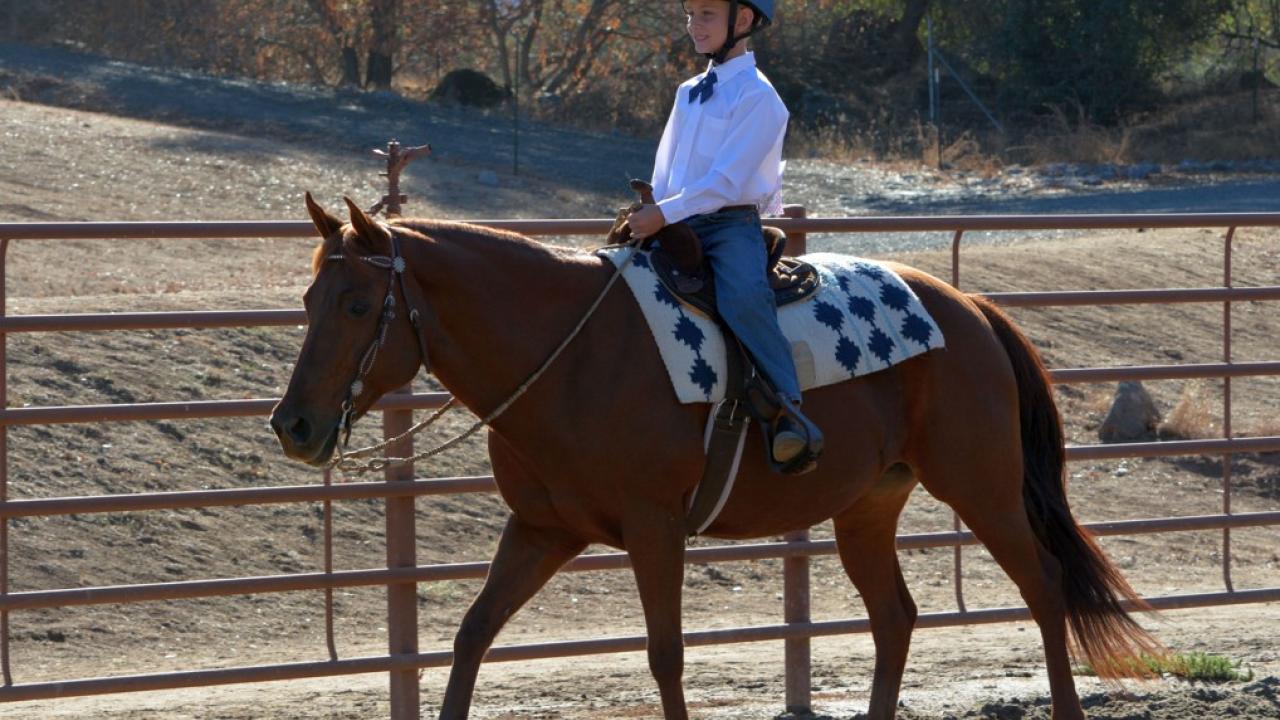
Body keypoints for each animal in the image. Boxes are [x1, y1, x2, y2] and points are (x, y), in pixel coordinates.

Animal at [272, 196, 1162, 717]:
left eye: (358, 303)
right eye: (310, 297)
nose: (295, 426)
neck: (573, 354)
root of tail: (969, 307)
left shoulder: (654, 529)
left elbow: (666, 658)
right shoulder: (542, 530)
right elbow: (471, 636)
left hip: (982, 485)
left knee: (1043, 586)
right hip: (869, 505)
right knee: (895, 617)